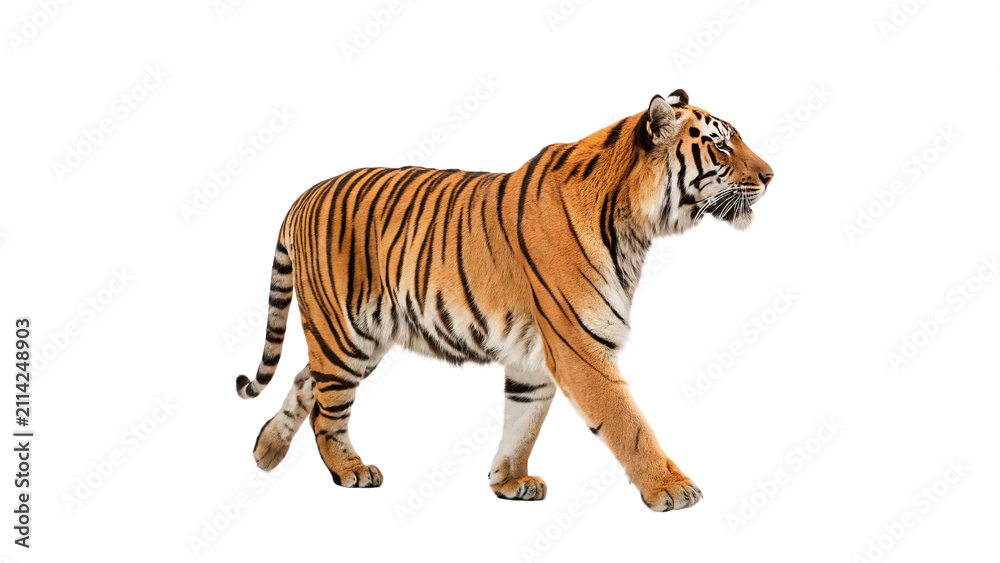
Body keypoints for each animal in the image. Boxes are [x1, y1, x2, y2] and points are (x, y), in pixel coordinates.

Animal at [236, 89, 773, 511]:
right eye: (721, 145)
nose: (771, 175)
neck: (634, 225)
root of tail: (303, 195)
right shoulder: (581, 348)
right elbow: (629, 424)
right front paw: (672, 487)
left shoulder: (535, 357)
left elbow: (523, 421)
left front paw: (509, 481)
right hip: (345, 334)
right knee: (327, 411)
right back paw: (349, 469)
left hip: (363, 338)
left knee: (306, 380)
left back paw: (265, 450)